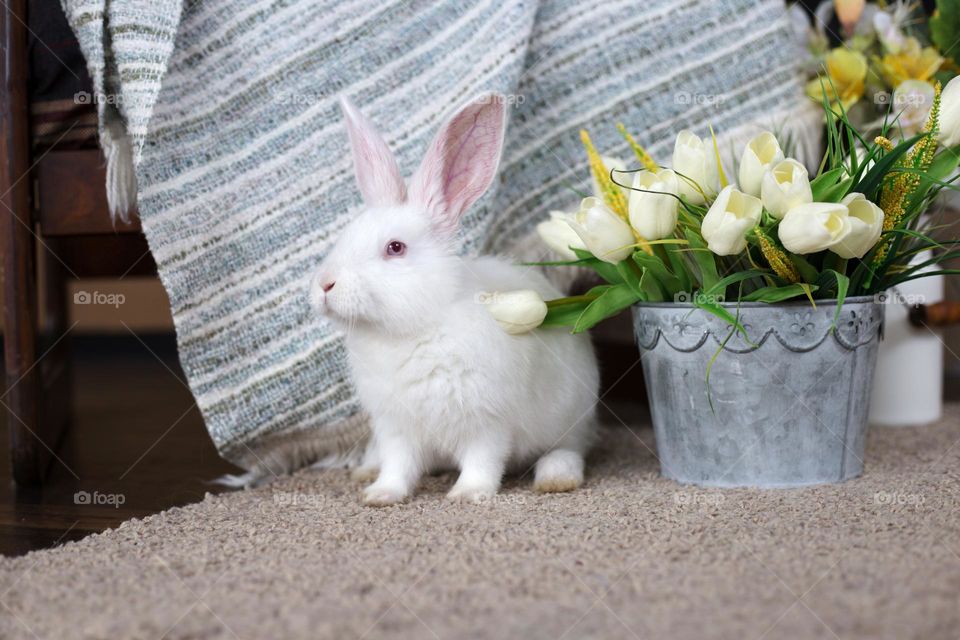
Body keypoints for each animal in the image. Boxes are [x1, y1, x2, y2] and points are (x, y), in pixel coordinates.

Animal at [310, 92, 599, 506]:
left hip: (570, 420)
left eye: (395, 248)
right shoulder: (395, 427)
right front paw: (381, 494)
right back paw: (365, 470)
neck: (417, 327)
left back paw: (556, 478)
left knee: (567, 450)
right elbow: (398, 465)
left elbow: (482, 460)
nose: (324, 285)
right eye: (344, 236)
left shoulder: (487, 422)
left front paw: (468, 494)